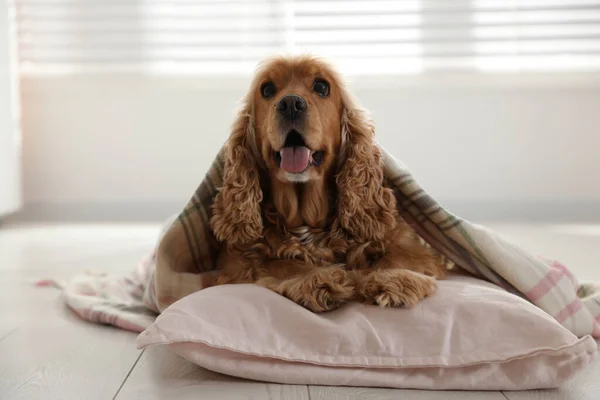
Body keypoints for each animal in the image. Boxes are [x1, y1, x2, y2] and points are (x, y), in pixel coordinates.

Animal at [210, 55, 446, 312]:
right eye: (267, 89)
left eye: (322, 86)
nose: (290, 104)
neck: (306, 221)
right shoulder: (232, 262)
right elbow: (276, 263)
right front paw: (315, 279)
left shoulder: (405, 238)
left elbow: (400, 255)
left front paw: (394, 278)